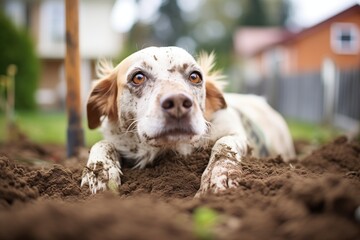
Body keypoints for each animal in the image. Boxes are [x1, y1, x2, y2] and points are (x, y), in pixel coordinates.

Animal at [80, 46, 294, 195]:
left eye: (195, 76)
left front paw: (218, 175)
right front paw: (99, 172)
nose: (178, 102)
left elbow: (224, 144)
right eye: (138, 77)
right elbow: (102, 144)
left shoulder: (236, 134)